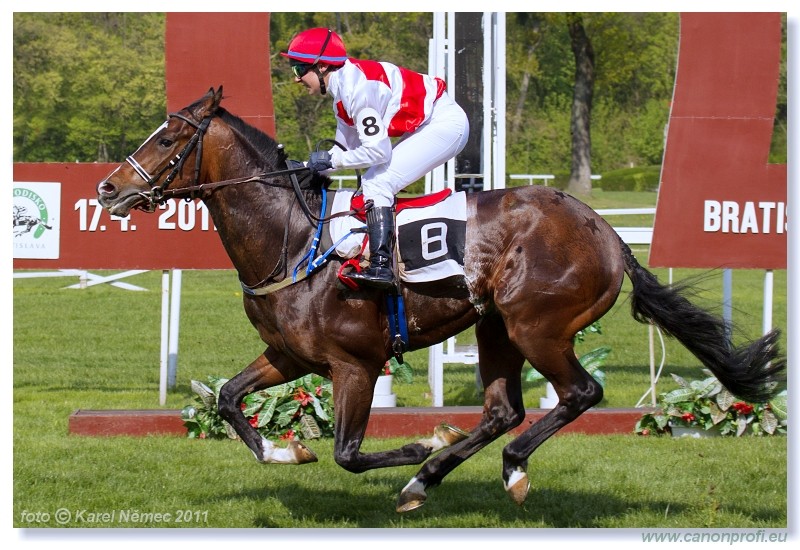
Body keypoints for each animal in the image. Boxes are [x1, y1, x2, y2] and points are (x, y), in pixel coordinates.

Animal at [97, 87, 785, 512]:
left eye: (169, 137)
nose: (108, 187)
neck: (293, 239)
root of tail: (607, 232)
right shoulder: (290, 356)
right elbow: (230, 399)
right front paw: (285, 449)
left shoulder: (355, 364)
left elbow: (349, 454)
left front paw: (419, 445)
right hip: (496, 327)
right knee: (504, 410)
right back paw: (431, 479)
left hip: (537, 326)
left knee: (580, 394)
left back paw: (497, 468)